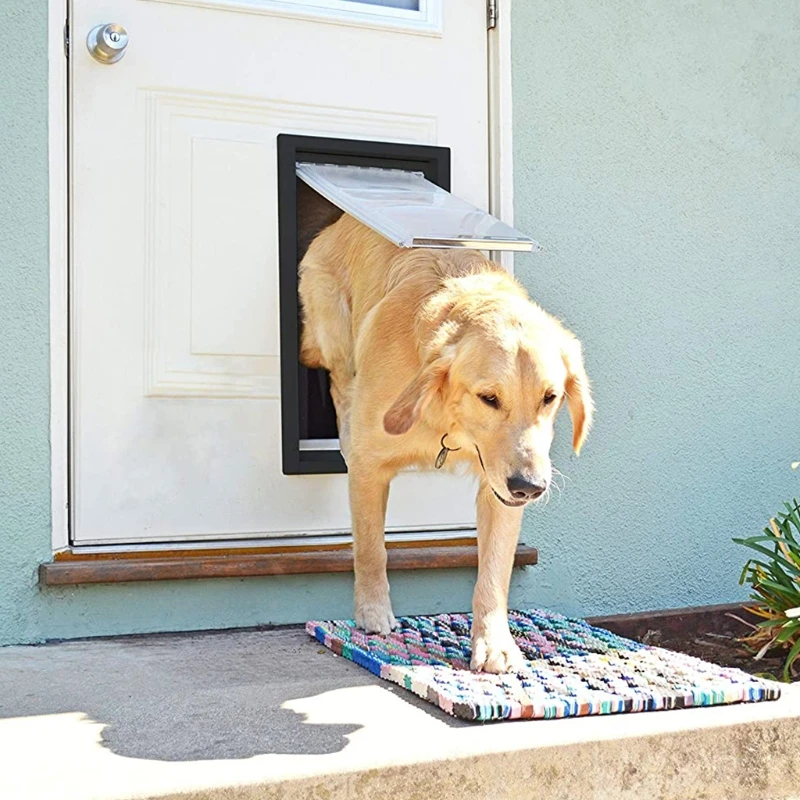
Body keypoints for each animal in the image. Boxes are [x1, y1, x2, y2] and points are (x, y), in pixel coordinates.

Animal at [296, 214, 592, 676]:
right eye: (489, 398)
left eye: (550, 397)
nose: (529, 487)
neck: (451, 424)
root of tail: (339, 220)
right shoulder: (368, 466)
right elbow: (371, 547)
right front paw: (372, 612)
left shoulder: (499, 491)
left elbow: (495, 571)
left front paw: (494, 642)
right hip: (334, 329)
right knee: (339, 381)